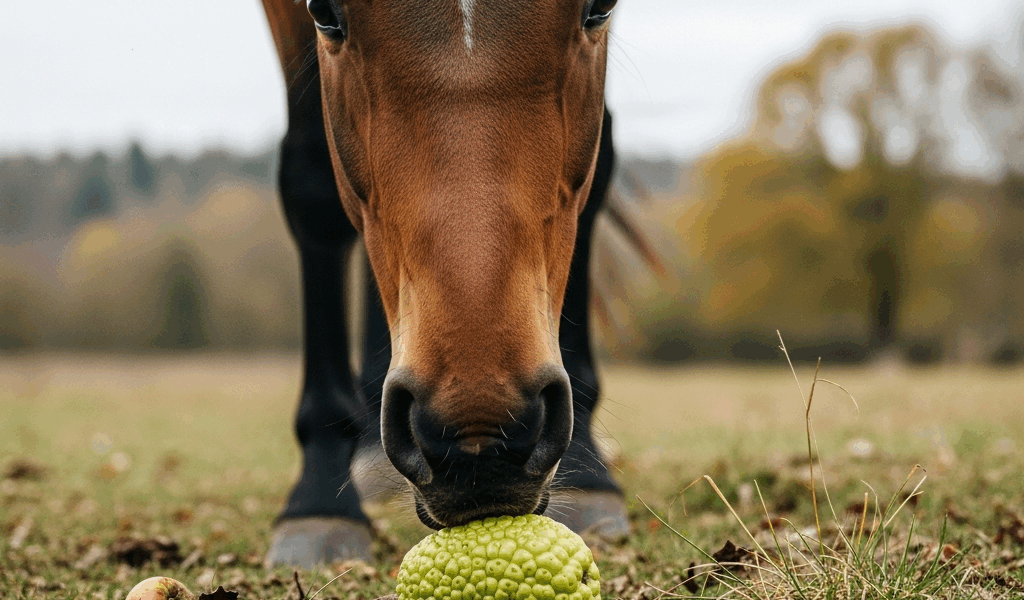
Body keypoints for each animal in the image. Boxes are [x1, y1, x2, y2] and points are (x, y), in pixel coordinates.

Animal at [258, 0, 628, 566]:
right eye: (324, 13)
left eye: (599, 8)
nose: (479, 435)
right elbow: (314, 174)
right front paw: (318, 498)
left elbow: (598, 156)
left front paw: (589, 467)